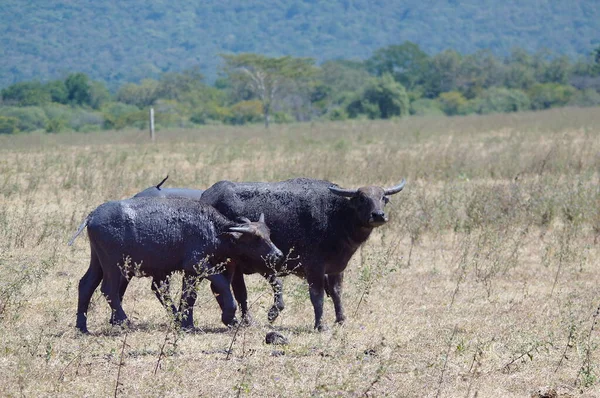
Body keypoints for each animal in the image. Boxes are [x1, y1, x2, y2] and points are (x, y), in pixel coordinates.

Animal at [67, 198, 282, 332]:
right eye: (256, 239)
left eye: (269, 234)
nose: (278, 254)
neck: (213, 230)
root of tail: (92, 215)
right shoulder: (198, 264)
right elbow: (221, 284)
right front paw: (229, 315)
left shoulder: (191, 273)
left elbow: (189, 296)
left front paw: (187, 323)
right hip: (113, 265)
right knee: (108, 289)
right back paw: (124, 322)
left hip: (98, 261)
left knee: (86, 285)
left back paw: (82, 327)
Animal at [203, 177, 408, 330]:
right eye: (362, 199)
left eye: (383, 198)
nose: (378, 215)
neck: (336, 217)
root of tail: (207, 196)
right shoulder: (314, 268)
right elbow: (317, 296)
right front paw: (320, 325)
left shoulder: (336, 268)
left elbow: (337, 293)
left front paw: (341, 320)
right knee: (236, 291)